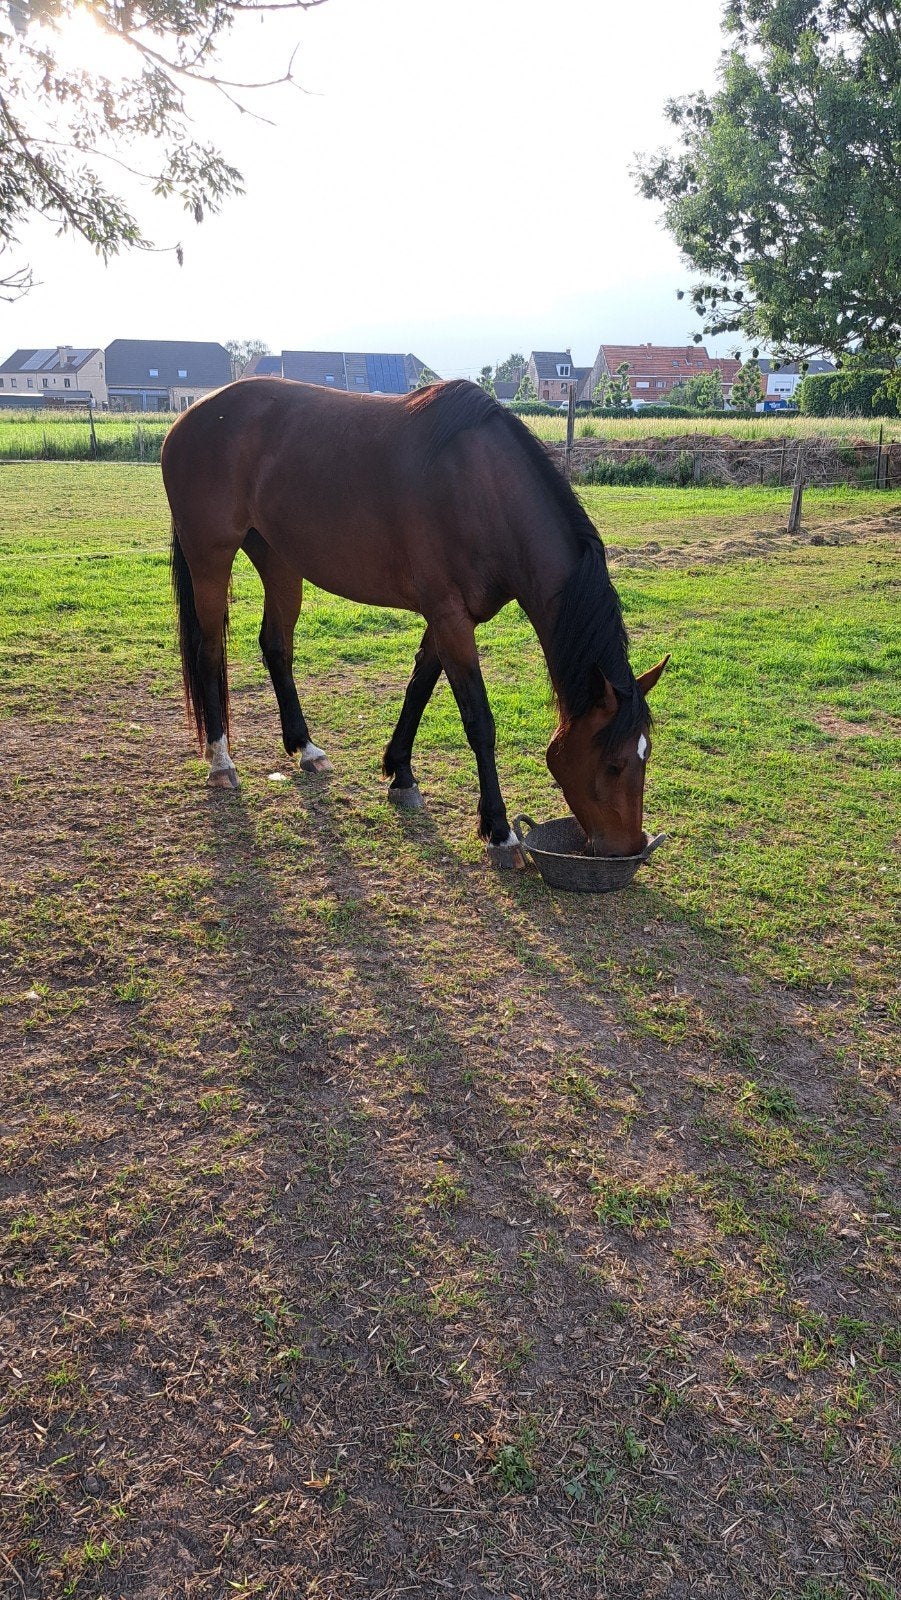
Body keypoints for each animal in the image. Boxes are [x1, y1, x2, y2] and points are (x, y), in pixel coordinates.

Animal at [162, 378, 668, 864]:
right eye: (614, 764)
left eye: (645, 757)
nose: (627, 848)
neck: (484, 488)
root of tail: (191, 414)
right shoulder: (448, 615)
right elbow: (478, 721)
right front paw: (499, 832)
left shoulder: (448, 617)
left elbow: (419, 685)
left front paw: (400, 773)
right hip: (210, 557)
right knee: (209, 652)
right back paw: (221, 761)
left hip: (279, 560)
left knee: (276, 647)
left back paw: (305, 748)